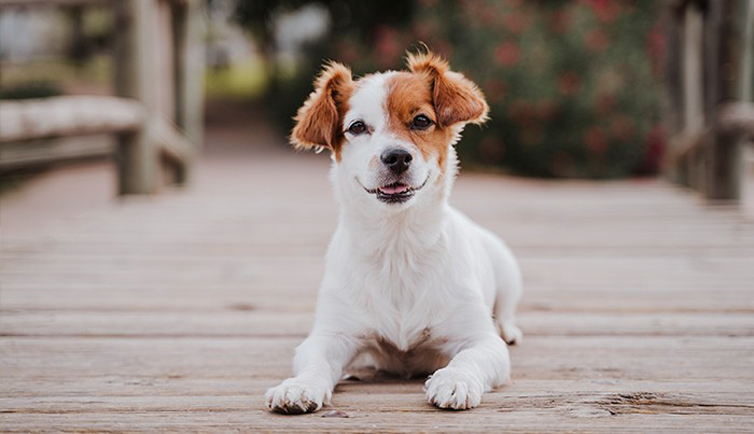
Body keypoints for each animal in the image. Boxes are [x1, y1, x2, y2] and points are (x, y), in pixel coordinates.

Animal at [266, 50, 524, 414]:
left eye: (421, 121)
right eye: (357, 127)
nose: (397, 156)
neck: (397, 246)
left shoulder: (480, 341)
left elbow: (469, 358)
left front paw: (454, 380)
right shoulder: (330, 336)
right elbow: (315, 362)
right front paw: (299, 386)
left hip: (508, 271)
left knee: (505, 312)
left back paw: (509, 329)